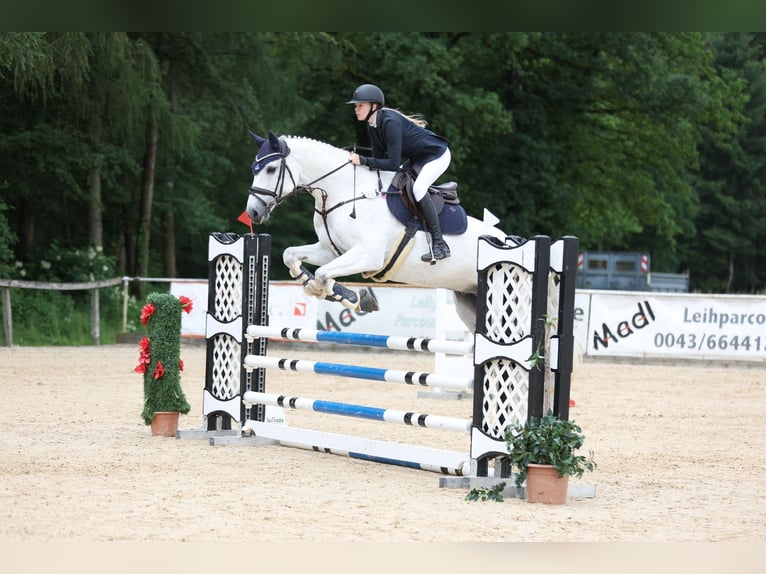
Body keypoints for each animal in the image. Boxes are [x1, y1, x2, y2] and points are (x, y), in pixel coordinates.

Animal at [246, 131, 510, 332]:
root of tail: (507, 241)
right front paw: (333, 293)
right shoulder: (331, 250)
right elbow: (291, 256)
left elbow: (322, 274)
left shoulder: (368, 255)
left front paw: (348, 297)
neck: (343, 191)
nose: (253, 212)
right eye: (254, 168)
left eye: (270, 169)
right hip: (468, 301)